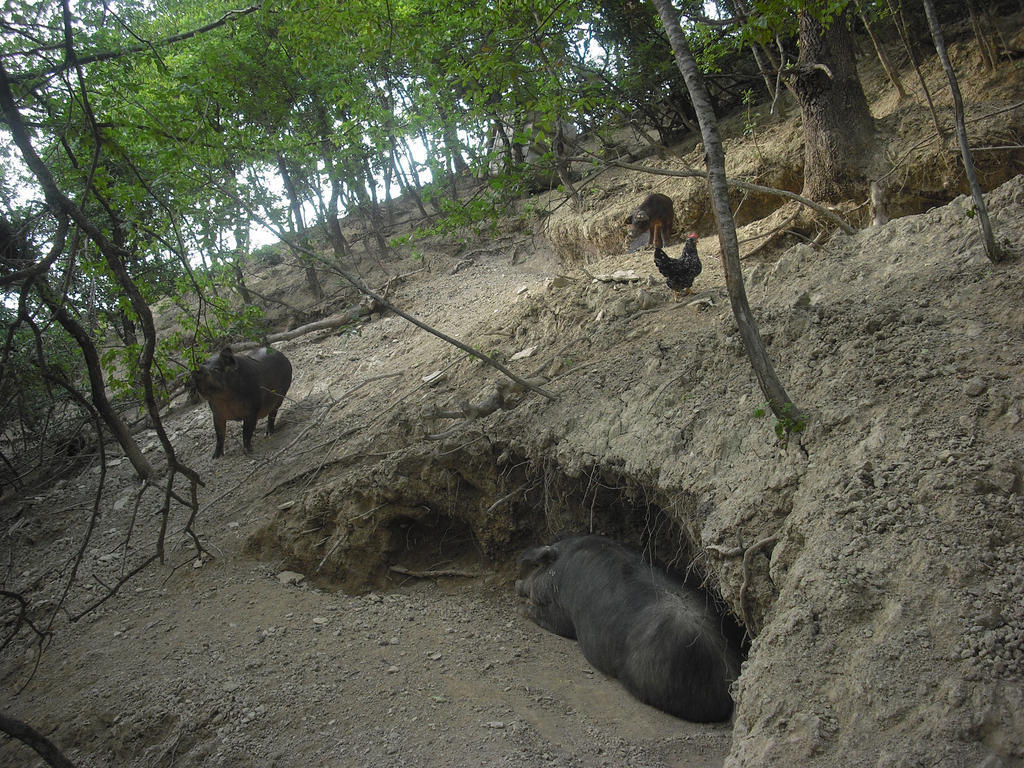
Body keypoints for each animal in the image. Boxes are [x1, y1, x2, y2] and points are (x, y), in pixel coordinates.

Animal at [516, 536, 741, 720]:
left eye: (536, 566)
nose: (517, 583)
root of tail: (728, 678)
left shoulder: (562, 611)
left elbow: (551, 620)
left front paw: (522, 608)